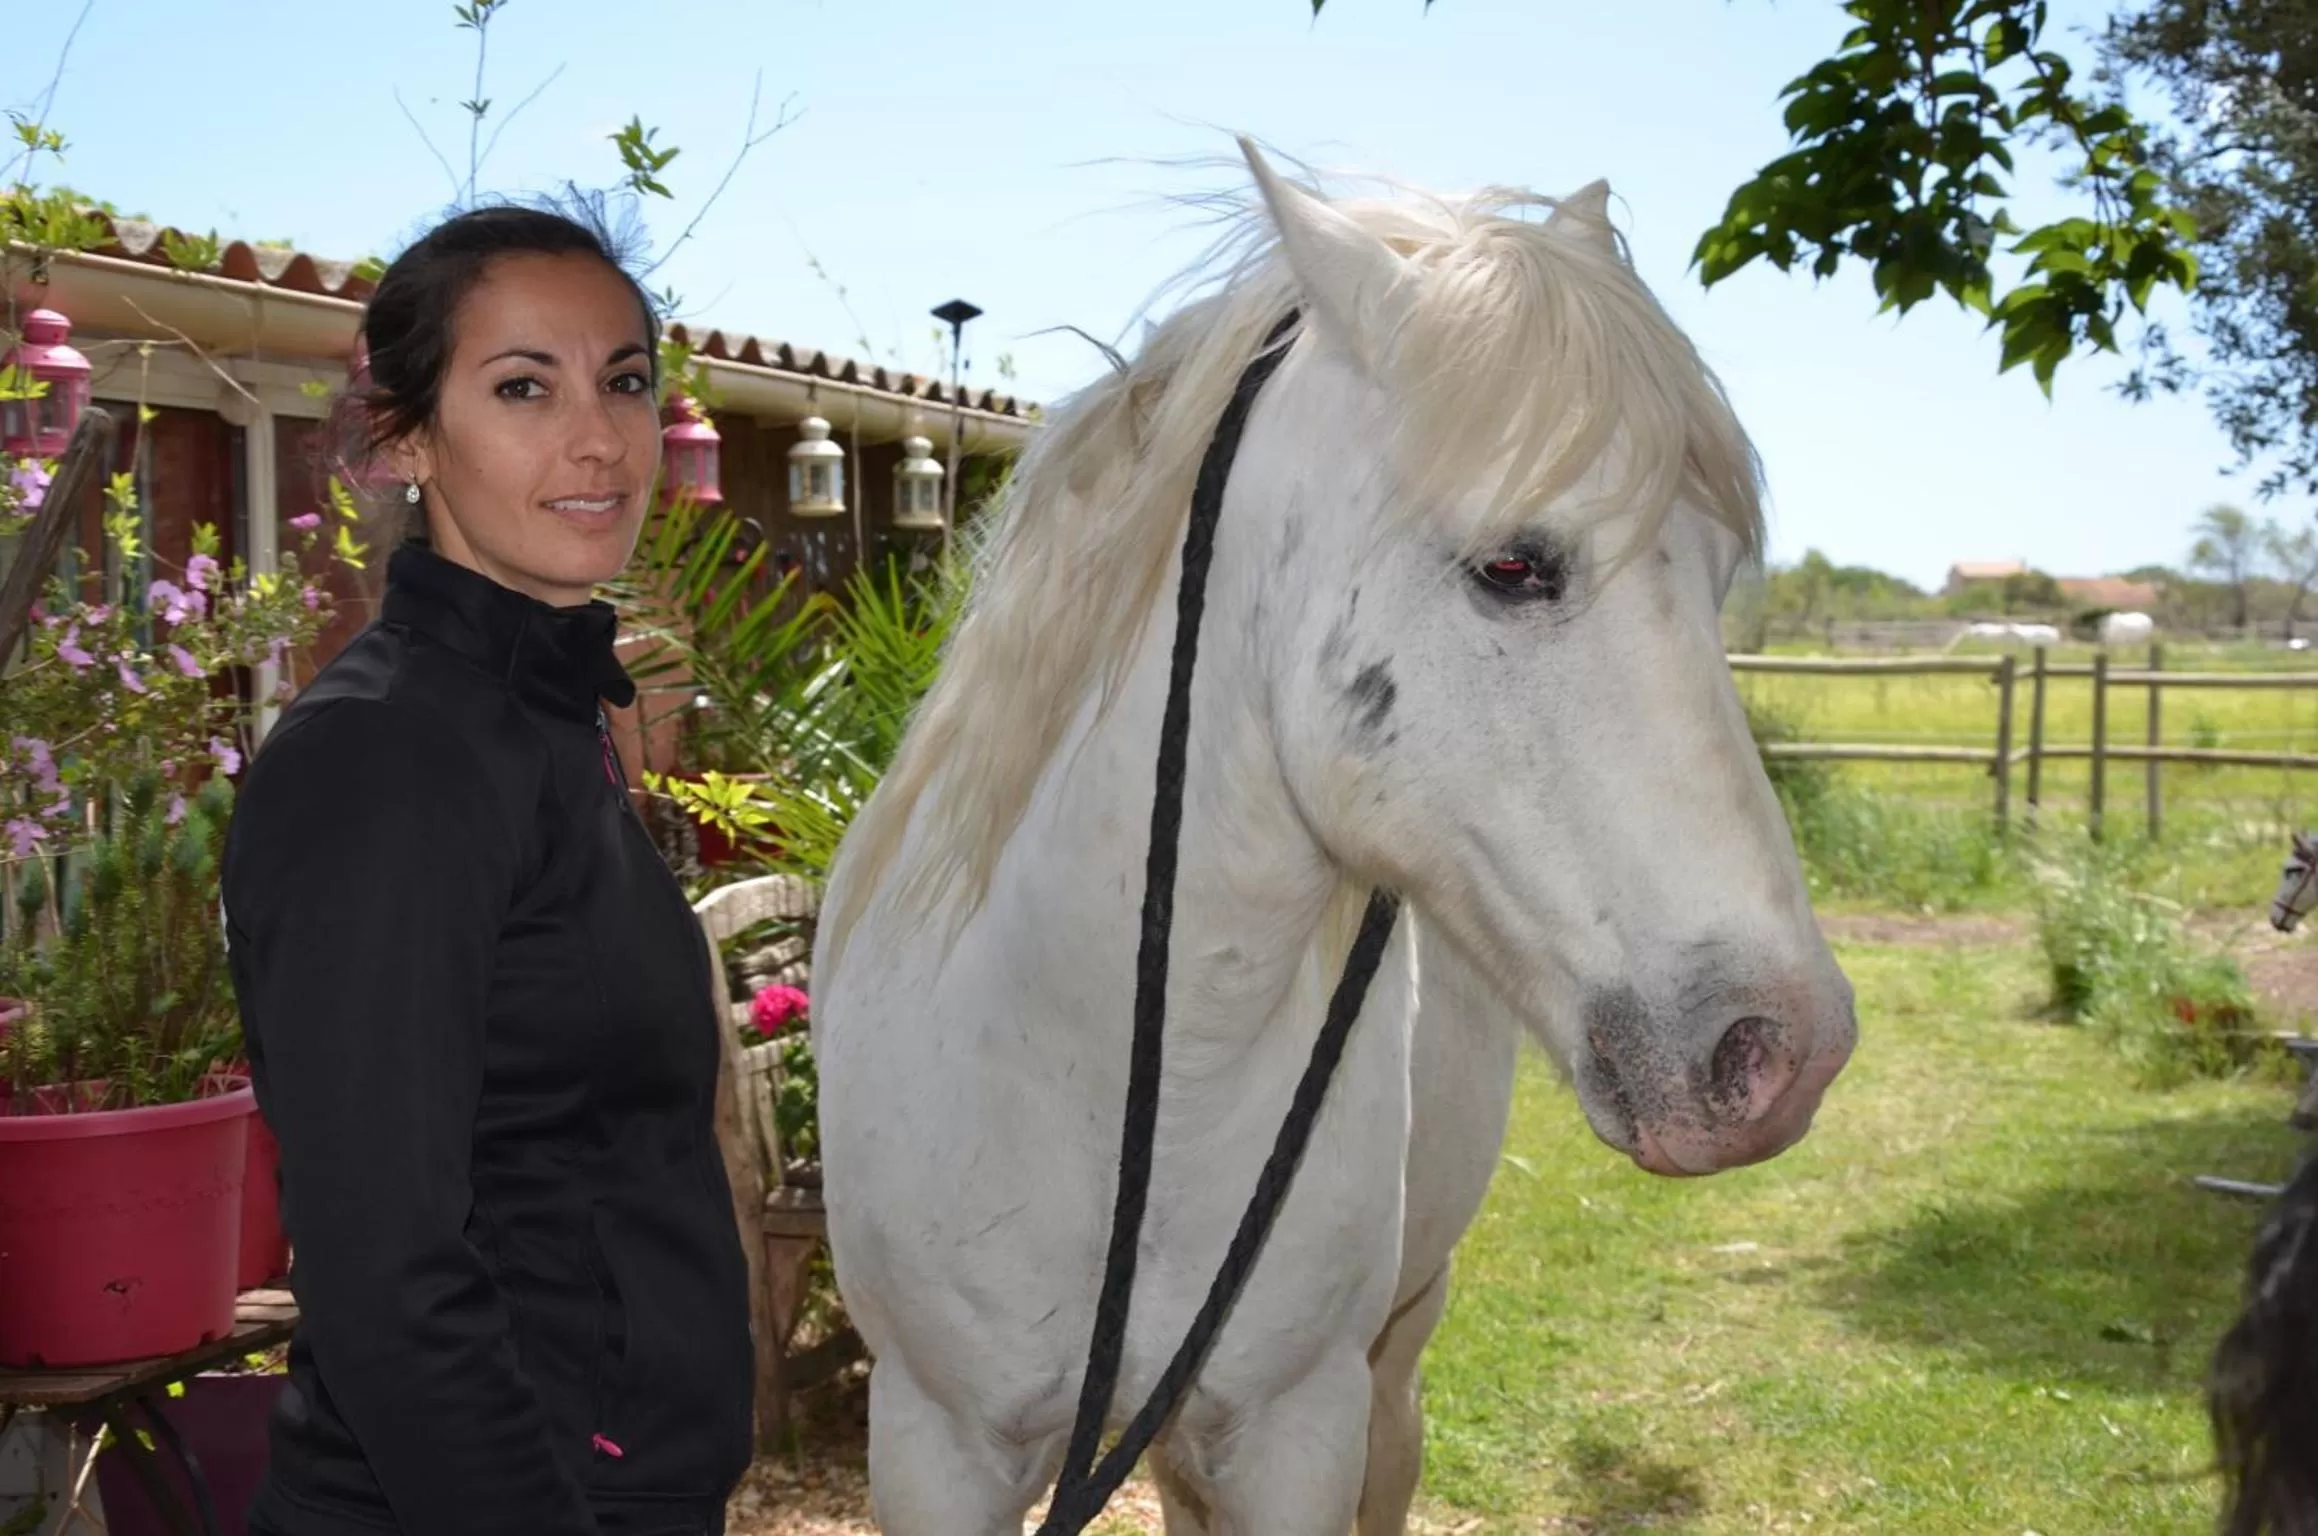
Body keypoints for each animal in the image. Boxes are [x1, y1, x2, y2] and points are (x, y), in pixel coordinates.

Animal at [809, 138, 1859, 1535]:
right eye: (1512, 566)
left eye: (1716, 568)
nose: (1782, 1053)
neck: (1103, 1079)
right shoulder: (933, 1444)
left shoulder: (1296, 1434)